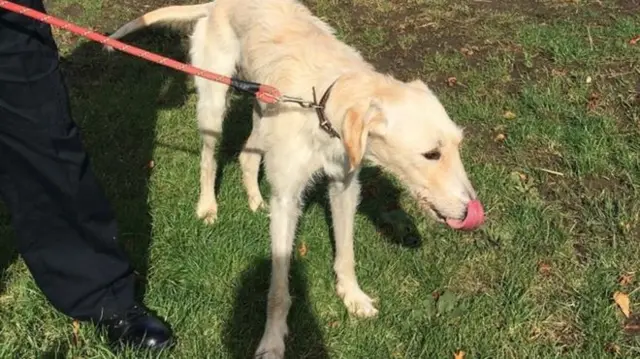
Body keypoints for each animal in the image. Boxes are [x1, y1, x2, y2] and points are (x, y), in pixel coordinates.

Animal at [106, 1, 484, 358]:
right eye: (431, 154)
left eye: (458, 146)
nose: (473, 213)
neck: (322, 105)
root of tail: (215, 4)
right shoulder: (288, 200)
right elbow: (278, 288)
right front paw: (272, 341)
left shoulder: (344, 187)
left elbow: (346, 253)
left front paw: (352, 295)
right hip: (213, 103)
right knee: (208, 158)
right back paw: (208, 205)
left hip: (263, 106)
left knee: (246, 156)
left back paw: (254, 198)